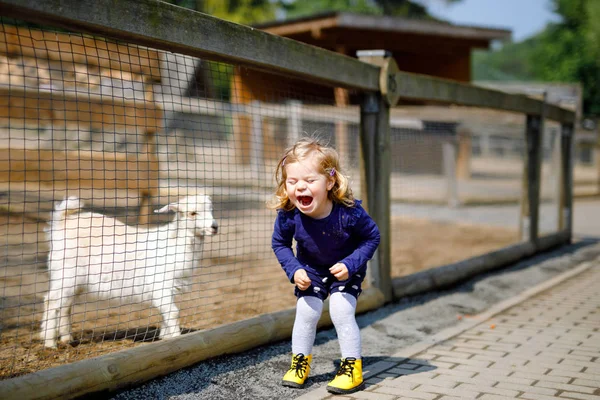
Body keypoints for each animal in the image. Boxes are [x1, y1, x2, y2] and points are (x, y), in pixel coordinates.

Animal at [40, 194, 218, 346]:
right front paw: (175, 338)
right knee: (52, 301)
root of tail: (62, 222)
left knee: (65, 305)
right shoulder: (161, 284)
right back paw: (50, 343)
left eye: (210, 209)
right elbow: (173, 312)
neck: (174, 243)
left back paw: (66, 338)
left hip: (74, 279)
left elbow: (165, 314)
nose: (214, 227)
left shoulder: (167, 288)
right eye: (192, 213)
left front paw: (165, 337)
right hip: (67, 272)